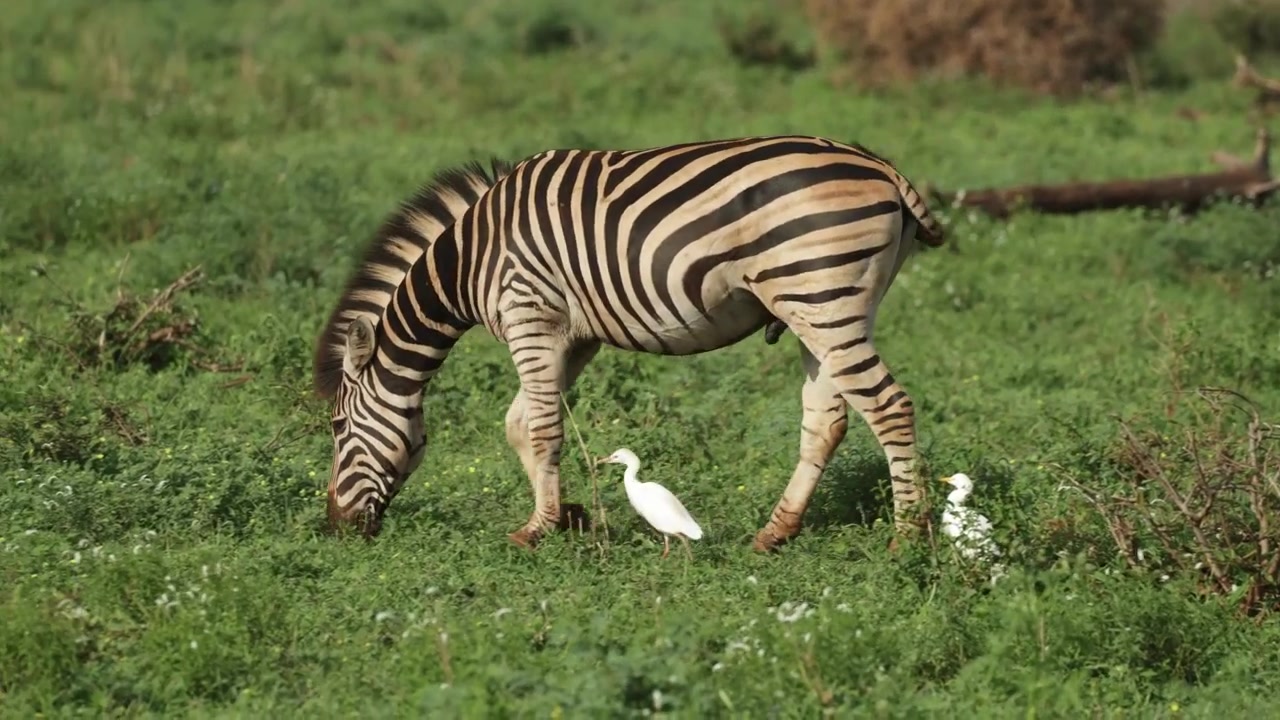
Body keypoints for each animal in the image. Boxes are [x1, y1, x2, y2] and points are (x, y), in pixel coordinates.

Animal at [312, 134, 946, 551]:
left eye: (338, 427)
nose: (335, 528)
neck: (471, 258)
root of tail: (883, 168)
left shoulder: (529, 315)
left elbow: (540, 429)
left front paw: (538, 530)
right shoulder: (574, 337)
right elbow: (521, 423)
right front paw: (567, 515)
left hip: (821, 294)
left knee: (888, 407)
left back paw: (907, 539)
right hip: (822, 307)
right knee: (827, 420)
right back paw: (775, 532)